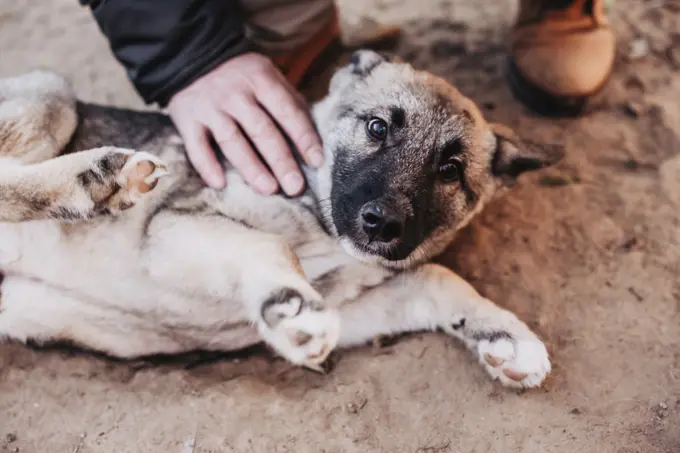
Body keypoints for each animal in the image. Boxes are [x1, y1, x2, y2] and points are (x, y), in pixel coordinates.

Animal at [0, 50, 564, 388]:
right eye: (377, 128)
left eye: (449, 170)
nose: (382, 223)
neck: (326, 232)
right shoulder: (172, 227)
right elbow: (270, 245)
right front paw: (291, 305)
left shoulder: (355, 305)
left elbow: (437, 279)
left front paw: (503, 336)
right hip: (49, 91)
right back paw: (96, 178)